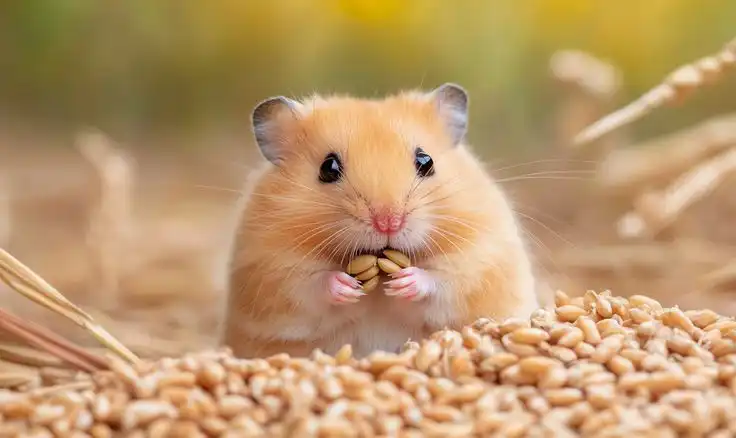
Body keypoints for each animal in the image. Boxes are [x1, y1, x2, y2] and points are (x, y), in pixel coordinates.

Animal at [220, 83, 539, 359]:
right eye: (328, 167)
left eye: (426, 161)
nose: (389, 223)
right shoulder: (268, 269)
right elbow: (308, 287)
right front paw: (345, 285)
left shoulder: (482, 255)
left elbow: (447, 281)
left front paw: (406, 281)